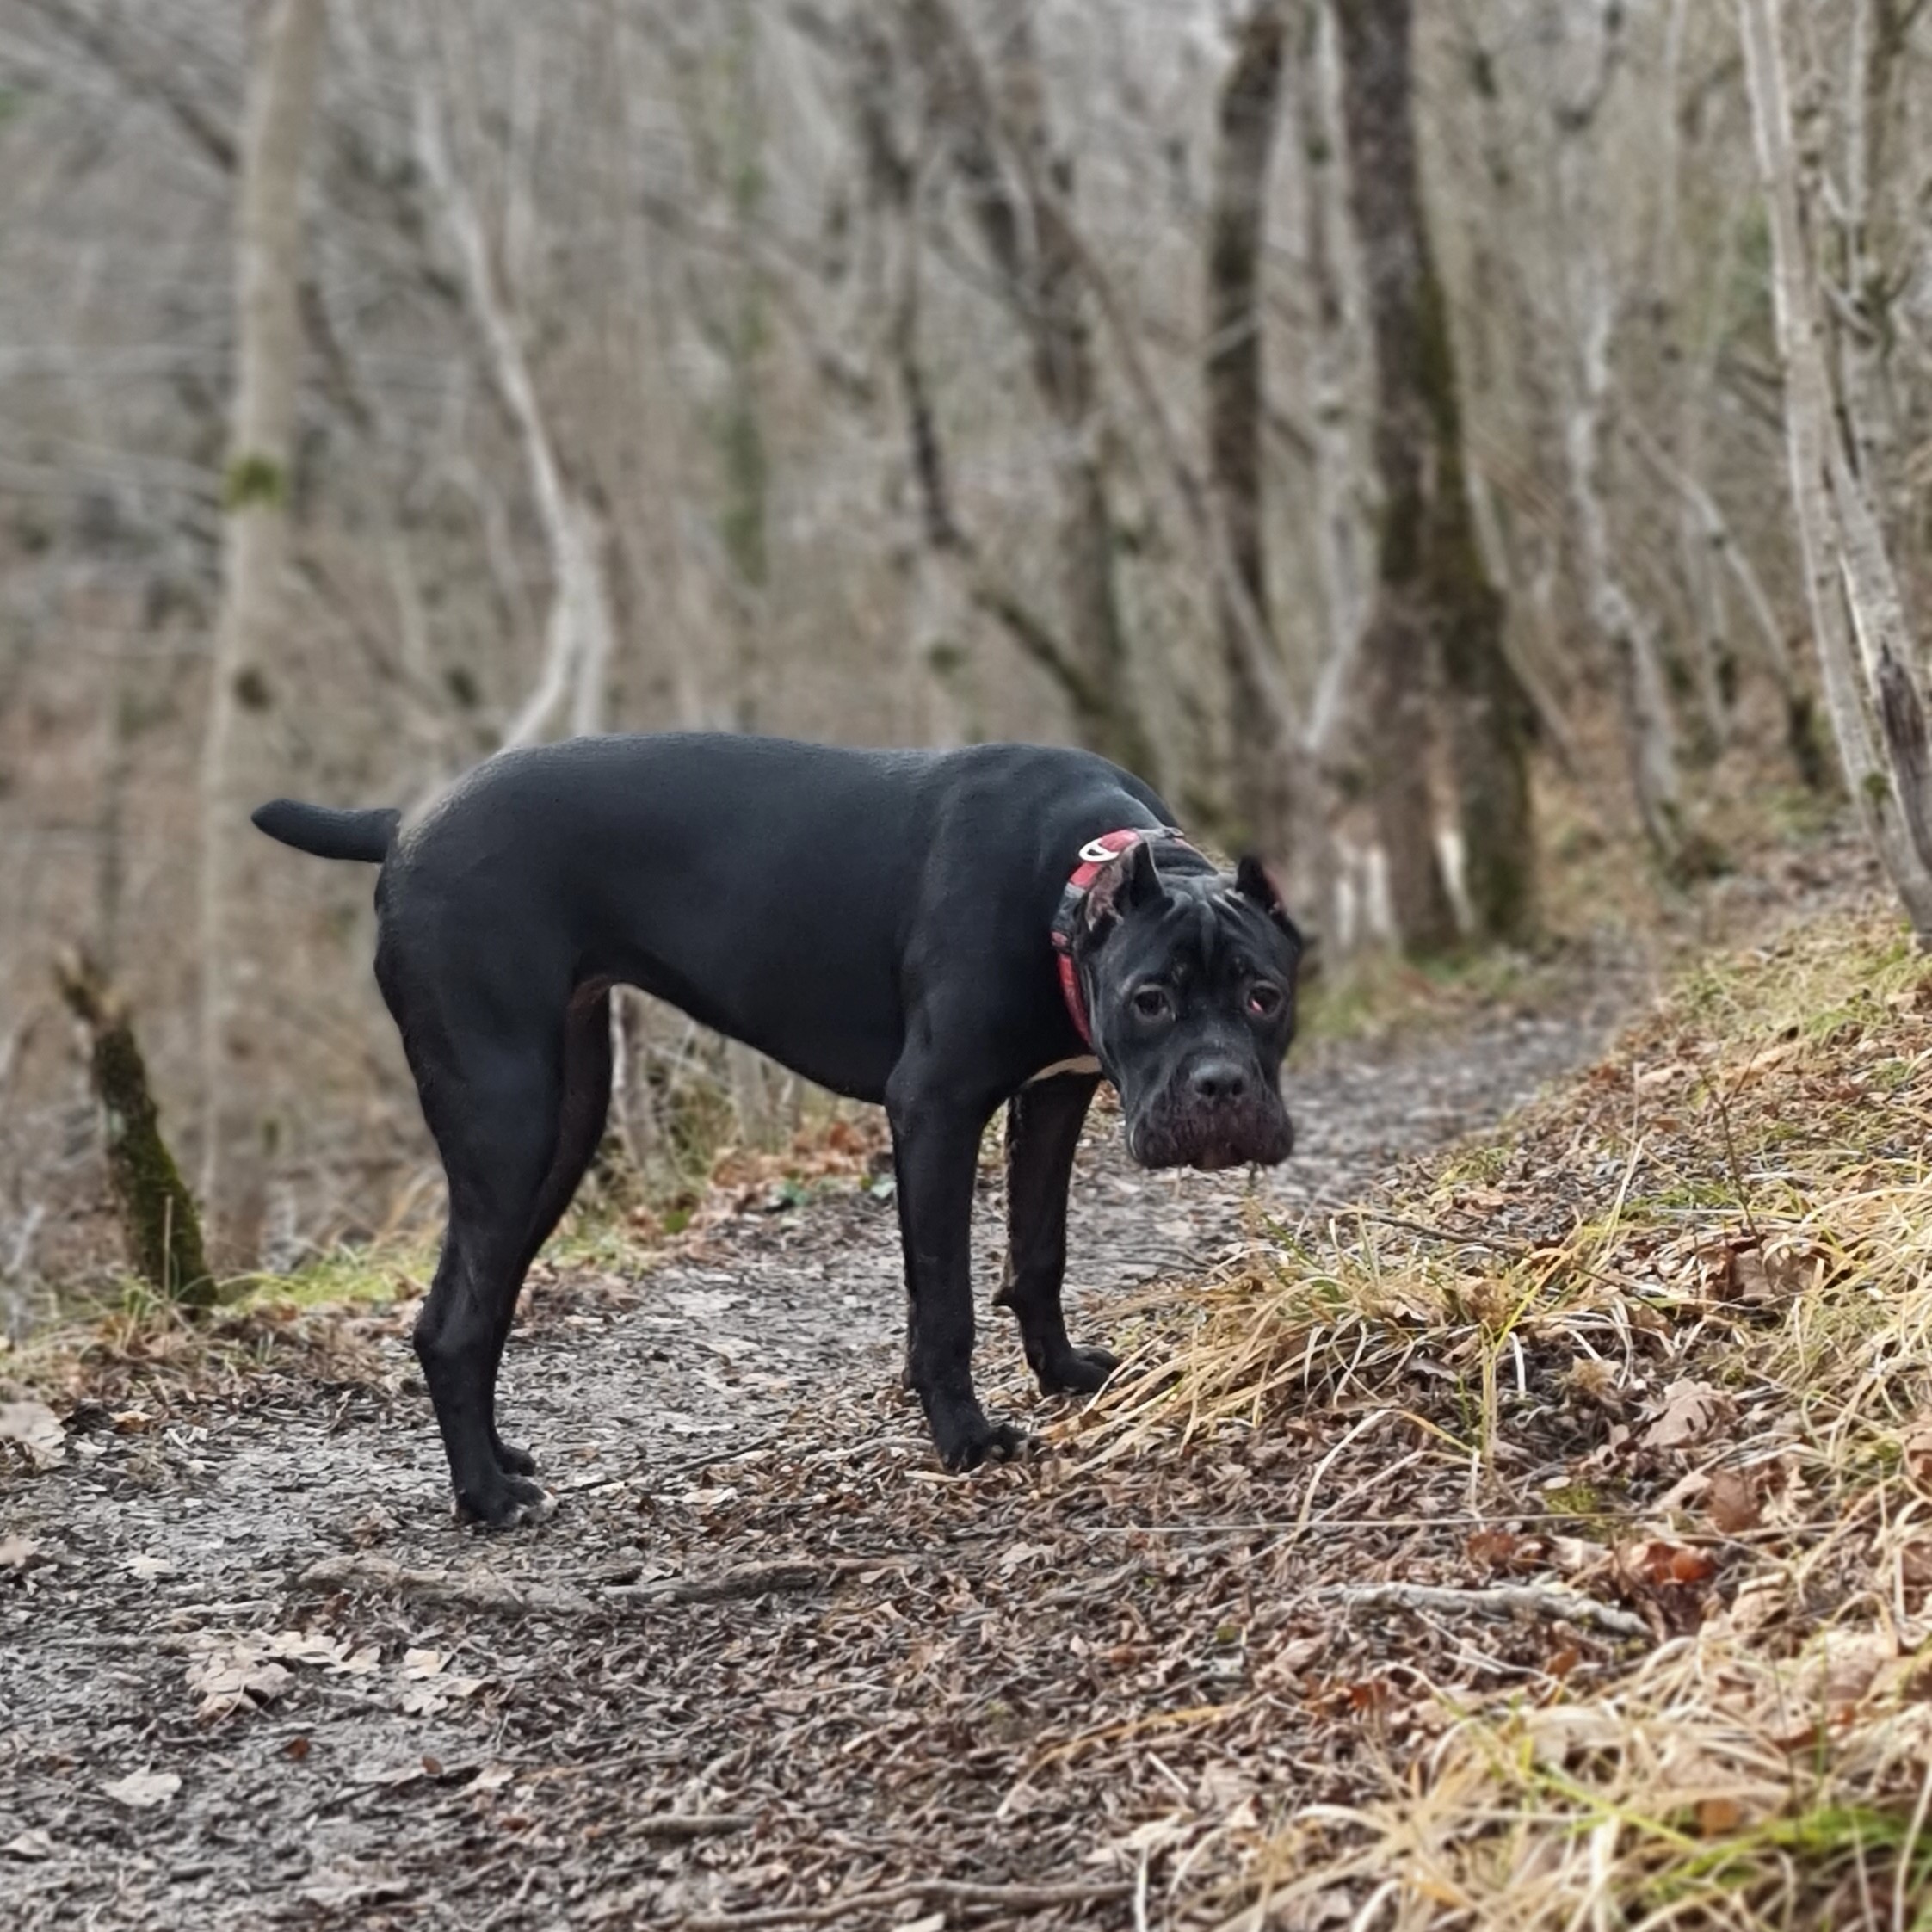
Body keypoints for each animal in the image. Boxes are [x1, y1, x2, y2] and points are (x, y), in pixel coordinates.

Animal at [253, 734, 1298, 1522]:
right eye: (1151, 999)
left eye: (1265, 995)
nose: (1220, 1086)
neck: (1068, 883)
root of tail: (402, 825)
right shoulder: (934, 1107)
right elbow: (944, 1301)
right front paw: (963, 1436)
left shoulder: (1053, 1098)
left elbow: (1038, 1251)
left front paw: (1061, 1370)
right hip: (508, 1113)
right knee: (454, 1319)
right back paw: (485, 1498)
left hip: (560, 1121)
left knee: (474, 1304)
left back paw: (502, 1461)